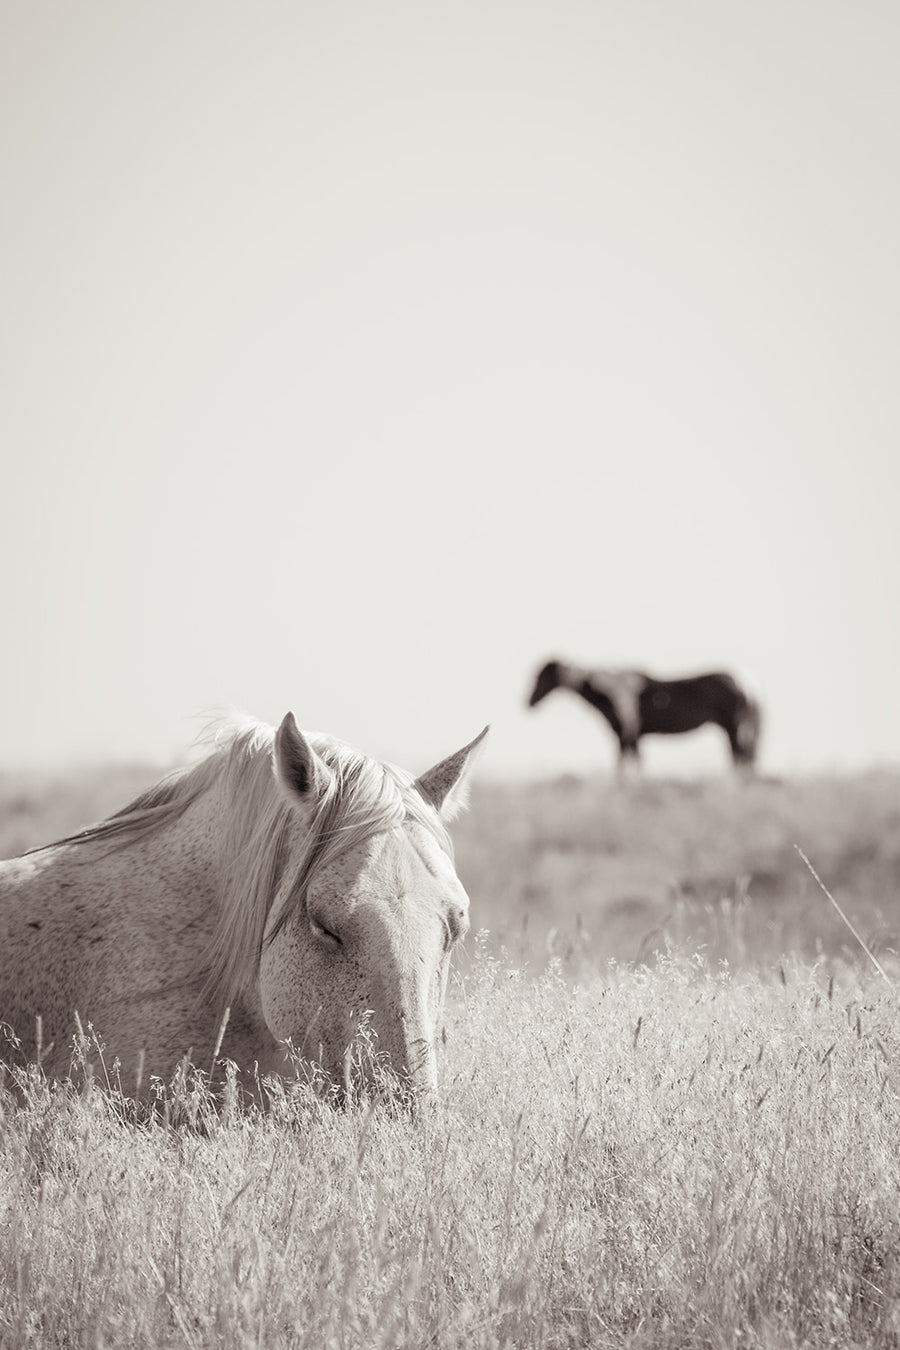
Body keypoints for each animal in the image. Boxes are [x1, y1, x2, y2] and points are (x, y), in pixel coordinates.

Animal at [528, 661, 761, 772]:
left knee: (739, 756)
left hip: (732, 726)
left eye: (543, 676)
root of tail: (744, 685)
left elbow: (627, 763)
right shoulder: (628, 735)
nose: (528, 701)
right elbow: (630, 762)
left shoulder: (627, 732)